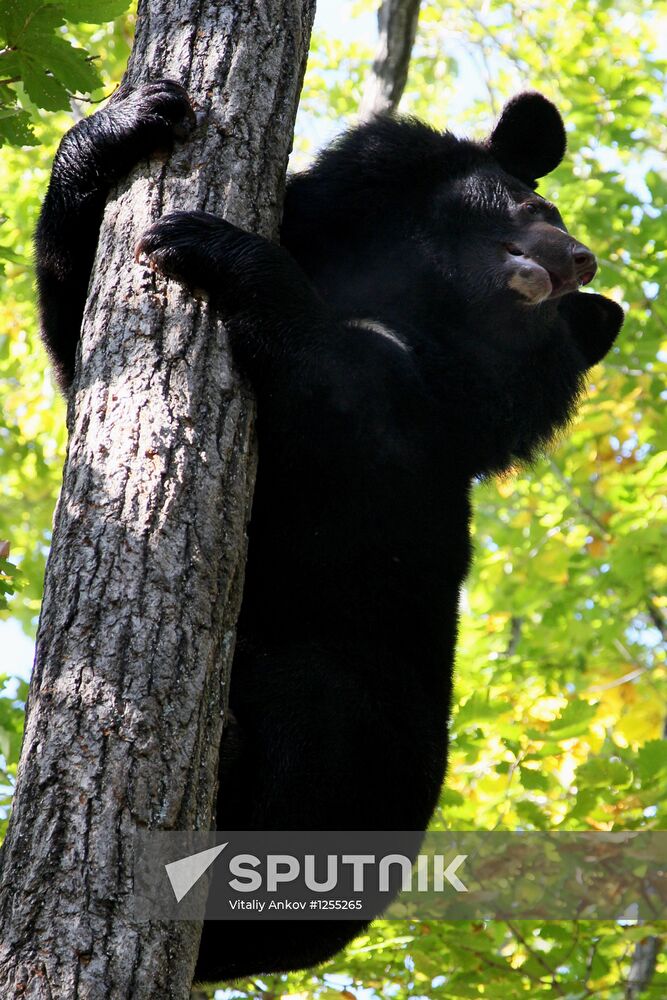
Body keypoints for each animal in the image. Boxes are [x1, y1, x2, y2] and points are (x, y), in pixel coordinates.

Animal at [35, 80, 620, 984]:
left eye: (562, 289)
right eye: (534, 204)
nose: (577, 259)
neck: (404, 294)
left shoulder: (431, 422)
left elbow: (352, 406)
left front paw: (212, 246)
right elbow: (77, 336)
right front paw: (126, 121)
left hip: (360, 750)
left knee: (315, 712)